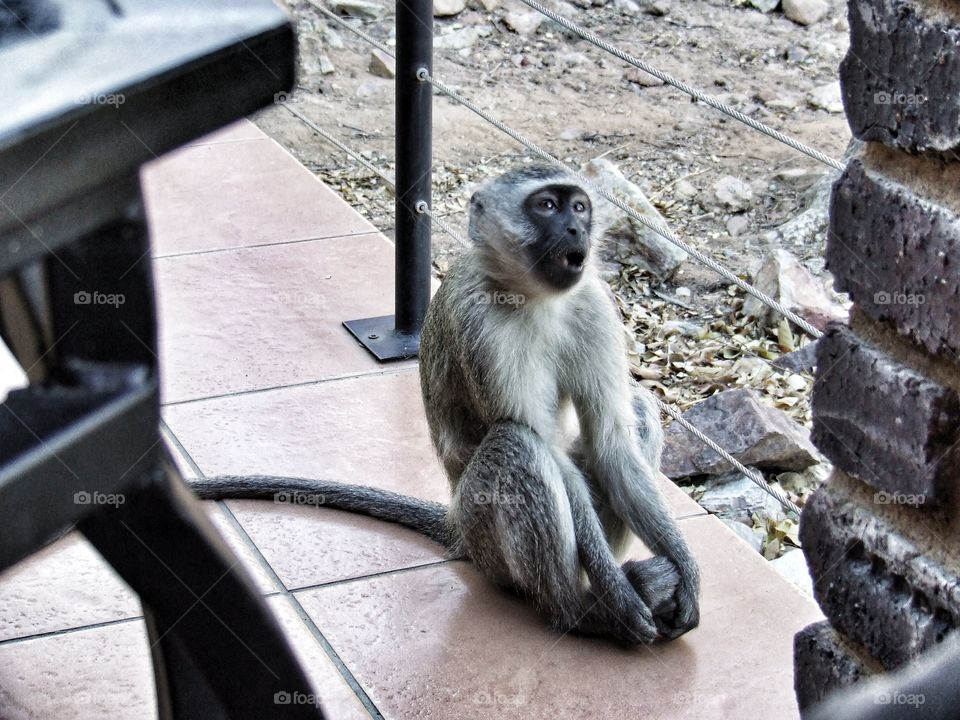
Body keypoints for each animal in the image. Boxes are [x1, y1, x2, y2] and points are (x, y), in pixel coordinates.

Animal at [188, 164, 700, 645]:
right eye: (547, 206)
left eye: (579, 207)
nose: (577, 230)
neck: (533, 298)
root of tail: (457, 521)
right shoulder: (481, 324)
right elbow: (546, 450)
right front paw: (617, 593)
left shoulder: (592, 303)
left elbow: (612, 443)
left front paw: (686, 572)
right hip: (485, 533)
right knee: (516, 444)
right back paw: (580, 611)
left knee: (634, 411)